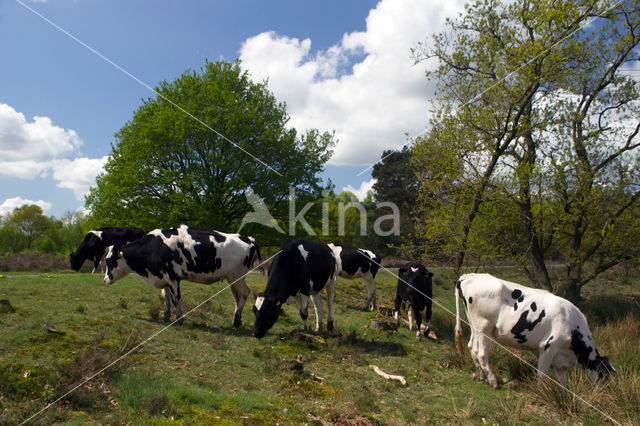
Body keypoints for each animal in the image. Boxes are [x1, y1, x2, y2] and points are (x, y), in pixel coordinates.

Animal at [105, 225, 262, 328]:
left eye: (108, 261)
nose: (105, 279)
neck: (155, 248)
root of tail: (247, 238)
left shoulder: (173, 277)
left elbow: (176, 298)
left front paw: (179, 319)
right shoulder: (164, 277)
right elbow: (166, 297)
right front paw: (166, 316)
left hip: (237, 276)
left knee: (244, 293)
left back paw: (236, 321)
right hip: (232, 278)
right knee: (237, 296)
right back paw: (236, 319)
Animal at [456, 274, 616, 388]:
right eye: (605, 376)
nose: (608, 394)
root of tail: (469, 276)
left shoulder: (559, 359)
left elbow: (562, 381)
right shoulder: (547, 347)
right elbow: (542, 375)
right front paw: (542, 393)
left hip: (474, 325)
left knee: (472, 347)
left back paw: (482, 376)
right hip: (484, 326)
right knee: (481, 352)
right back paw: (492, 380)